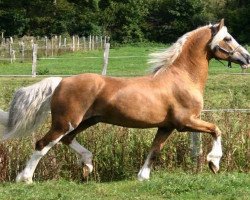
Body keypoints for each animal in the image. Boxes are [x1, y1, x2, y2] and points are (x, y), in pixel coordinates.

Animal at [0, 19, 249, 183]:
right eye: (228, 38)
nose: (246, 57)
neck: (182, 78)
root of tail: (61, 81)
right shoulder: (186, 122)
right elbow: (216, 129)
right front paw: (214, 163)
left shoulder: (166, 126)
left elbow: (154, 150)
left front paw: (143, 177)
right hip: (65, 122)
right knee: (42, 144)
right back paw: (25, 179)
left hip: (86, 121)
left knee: (67, 140)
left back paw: (88, 165)